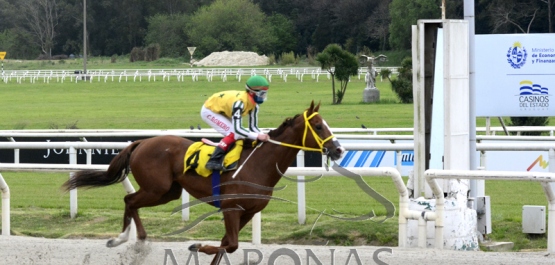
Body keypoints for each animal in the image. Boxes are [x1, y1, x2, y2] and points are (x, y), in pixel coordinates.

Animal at [63, 100, 346, 262]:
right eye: (318, 126)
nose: (338, 149)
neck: (259, 164)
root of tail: (142, 142)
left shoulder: (247, 212)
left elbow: (226, 245)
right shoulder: (231, 208)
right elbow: (230, 244)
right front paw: (195, 245)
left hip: (168, 192)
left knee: (131, 201)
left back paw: (129, 239)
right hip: (157, 189)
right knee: (129, 199)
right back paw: (128, 240)